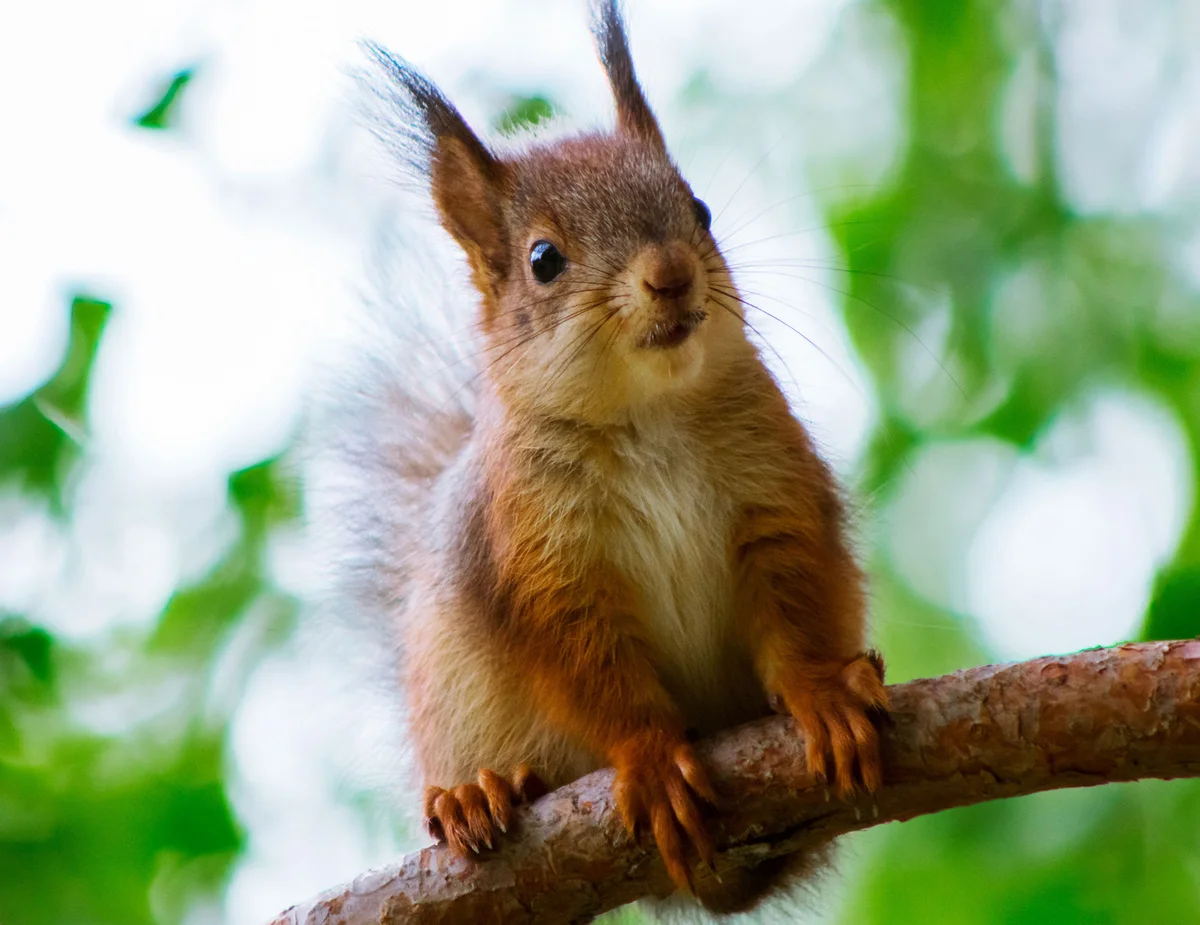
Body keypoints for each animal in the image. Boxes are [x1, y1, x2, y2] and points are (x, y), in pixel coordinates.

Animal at [331, 0, 889, 914]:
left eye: (699, 208)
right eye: (543, 260)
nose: (670, 274)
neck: (645, 412)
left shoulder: (773, 489)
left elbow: (796, 594)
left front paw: (822, 692)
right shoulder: (541, 561)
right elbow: (592, 671)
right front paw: (653, 757)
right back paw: (475, 791)